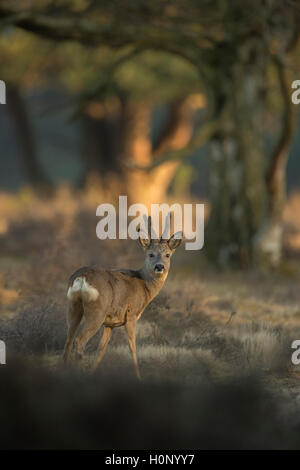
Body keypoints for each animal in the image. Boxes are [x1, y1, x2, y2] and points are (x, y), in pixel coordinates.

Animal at [62, 216, 182, 378]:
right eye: (150, 254)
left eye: (167, 254)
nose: (160, 266)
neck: (144, 285)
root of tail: (82, 277)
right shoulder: (131, 315)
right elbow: (132, 348)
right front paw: (138, 376)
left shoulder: (110, 324)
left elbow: (101, 350)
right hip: (96, 311)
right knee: (79, 341)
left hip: (74, 306)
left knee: (68, 341)